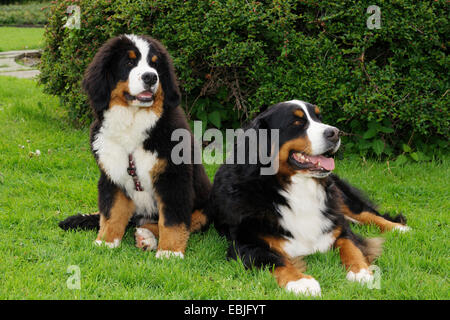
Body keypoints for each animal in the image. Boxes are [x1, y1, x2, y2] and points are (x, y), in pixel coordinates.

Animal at [58, 35, 211, 258]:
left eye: (155, 64)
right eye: (129, 62)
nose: (151, 77)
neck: (132, 122)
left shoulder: (174, 177)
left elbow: (171, 220)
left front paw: (170, 252)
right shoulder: (111, 176)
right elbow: (111, 213)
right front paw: (106, 241)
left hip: (206, 206)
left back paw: (146, 237)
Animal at [204, 100, 412, 298]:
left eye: (319, 118)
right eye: (297, 122)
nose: (335, 133)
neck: (295, 187)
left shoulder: (338, 227)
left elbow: (351, 246)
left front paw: (361, 272)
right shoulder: (245, 244)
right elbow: (274, 260)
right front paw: (301, 282)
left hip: (339, 196)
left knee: (365, 213)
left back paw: (399, 228)